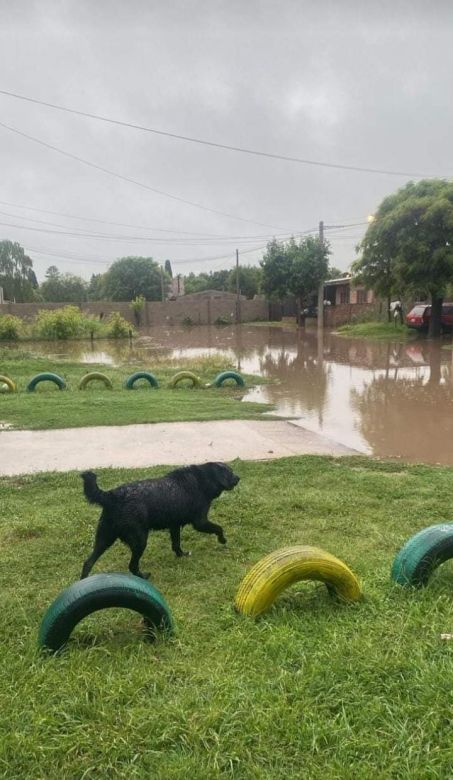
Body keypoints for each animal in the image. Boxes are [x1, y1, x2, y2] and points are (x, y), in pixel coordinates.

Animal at [80, 464, 240, 580]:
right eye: (230, 472)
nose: (239, 477)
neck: (203, 480)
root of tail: (112, 495)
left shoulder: (174, 525)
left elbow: (176, 544)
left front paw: (181, 555)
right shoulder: (200, 522)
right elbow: (219, 528)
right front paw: (223, 540)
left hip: (104, 539)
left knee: (88, 562)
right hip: (139, 541)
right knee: (132, 566)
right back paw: (143, 576)